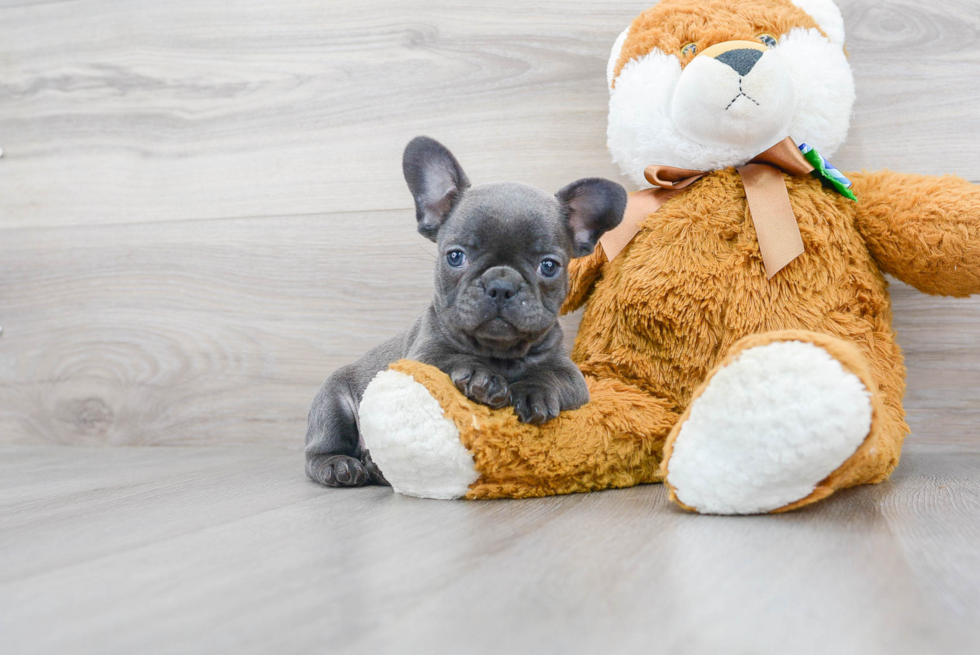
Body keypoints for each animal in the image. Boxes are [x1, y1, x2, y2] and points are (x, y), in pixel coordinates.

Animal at [308, 137, 628, 486]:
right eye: (456, 256)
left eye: (549, 266)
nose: (501, 284)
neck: (499, 353)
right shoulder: (422, 357)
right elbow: (451, 359)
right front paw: (480, 376)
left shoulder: (573, 378)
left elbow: (551, 376)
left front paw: (533, 393)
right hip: (332, 404)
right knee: (318, 451)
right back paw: (341, 465)